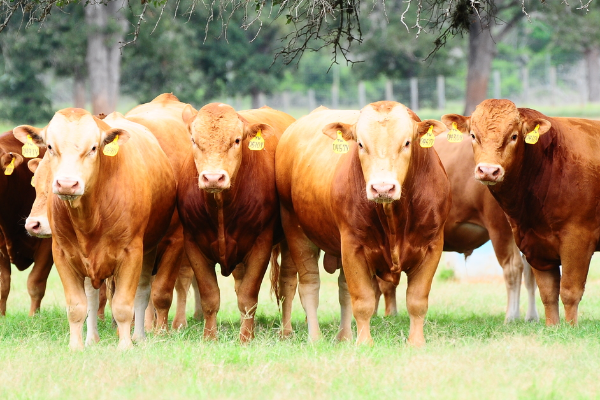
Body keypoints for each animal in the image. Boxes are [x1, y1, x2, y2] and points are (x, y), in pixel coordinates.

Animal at [14, 108, 177, 348]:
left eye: (93, 148)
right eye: (50, 146)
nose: (67, 184)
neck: (91, 216)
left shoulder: (132, 254)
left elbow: (123, 306)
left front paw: (125, 345)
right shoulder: (62, 255)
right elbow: (76, 306)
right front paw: (76, 346)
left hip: (149, 250)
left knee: (142, 292)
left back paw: (138, 336)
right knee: (91, 297)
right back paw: (92, 338)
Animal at [276, 102, 450, 344]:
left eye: (407, 142)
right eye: (360, 144)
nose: (383, 188)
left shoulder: (433, 245)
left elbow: (417, 301)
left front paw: (416, 343)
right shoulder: (352, 247)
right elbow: (363, 301)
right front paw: (365, 343)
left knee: (342, 289)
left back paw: (345, 336)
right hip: (296, 232)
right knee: (309, 286)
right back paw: (315, 337)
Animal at [442, 99, 600, 324]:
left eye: (514, 136)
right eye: (473, 135)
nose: (488, 170)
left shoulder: (577, 240)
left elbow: (570, 292)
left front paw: (571, 327)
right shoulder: (534, 244)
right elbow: (548, 293)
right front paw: (553, 327)